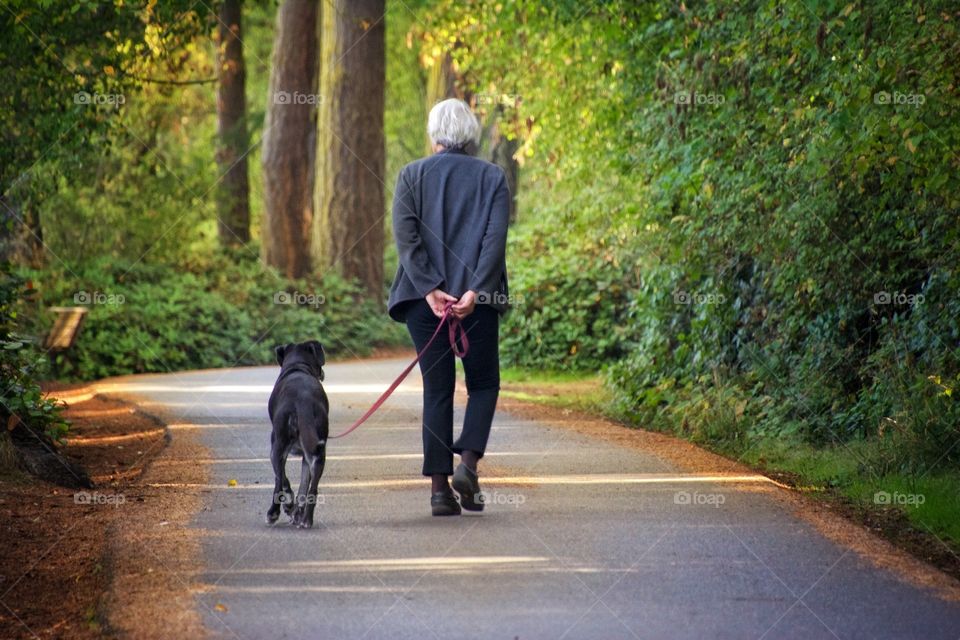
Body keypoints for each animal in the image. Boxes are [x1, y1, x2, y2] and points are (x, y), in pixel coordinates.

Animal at [266, 342, 330, 528]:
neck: (298, 367)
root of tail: (303, 400)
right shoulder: (305, 456)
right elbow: (303, 487)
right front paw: (297, 513)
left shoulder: (275, 451)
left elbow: (283, 480)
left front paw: (289, 507)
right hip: (318, 454)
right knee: (312, 489)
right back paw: (306, 519)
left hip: (278, 446)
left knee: (279, 481)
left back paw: (274, 512)